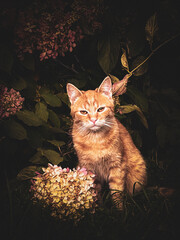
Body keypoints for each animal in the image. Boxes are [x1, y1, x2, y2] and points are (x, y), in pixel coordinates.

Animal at [67, 76, 147, 206]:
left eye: (100, 109)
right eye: (83, 112)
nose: (93, 120)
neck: (95, 140)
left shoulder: (117, 166)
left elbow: (117, 192)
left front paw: (119, 209)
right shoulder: (88, 168)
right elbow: (93, 191)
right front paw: (97, 207)